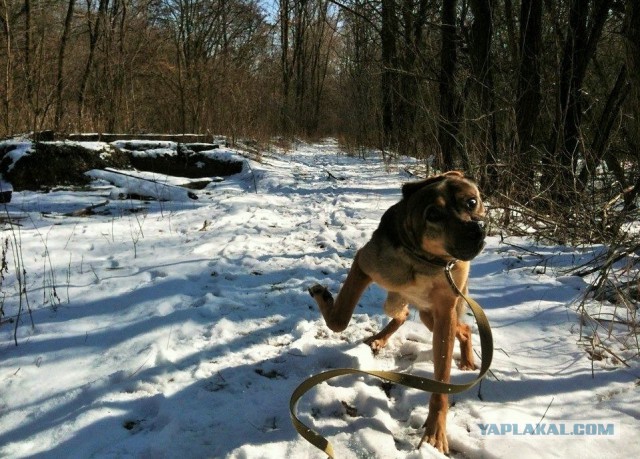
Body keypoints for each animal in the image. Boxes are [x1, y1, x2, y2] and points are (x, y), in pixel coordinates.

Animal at [308, 171, 484, 454]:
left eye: (471, 202)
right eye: (433, 214)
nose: (476, 228)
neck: (427, 262)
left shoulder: (445, 312)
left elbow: (441, 382)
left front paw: (435, 432)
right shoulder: (364, 264)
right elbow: (340, 319)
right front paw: (325, 299)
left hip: (431, 316)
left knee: (462, 327)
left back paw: (467, 361)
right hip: (400, 301)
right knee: (401, 314)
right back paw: (379, 339)